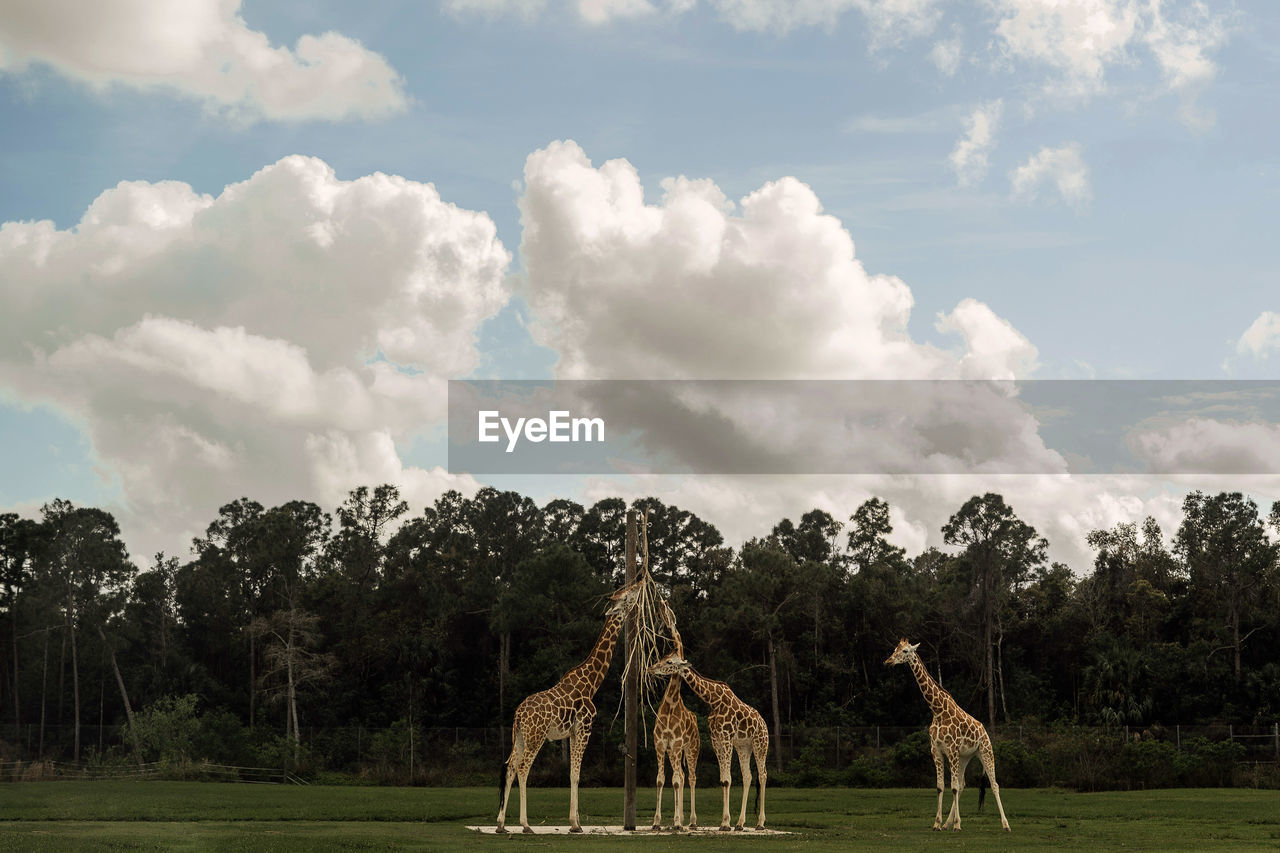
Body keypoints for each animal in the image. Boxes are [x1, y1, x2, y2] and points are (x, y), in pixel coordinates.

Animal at [496, 578, 640, 829]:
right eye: (625, 596)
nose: (638, 585)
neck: (591, 683)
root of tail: (519, 714)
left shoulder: (572, 732)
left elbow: (572, 773)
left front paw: (576, 822)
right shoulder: (584, 728)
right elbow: (576, 774)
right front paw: (575, 824)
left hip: (520, 735)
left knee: (510, 765)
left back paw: (501, 824)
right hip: (536, 736)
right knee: (523, 768)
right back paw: (525, 824)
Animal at [645, 650, 762, 824]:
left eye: (669, 662)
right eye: (663, 658)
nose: (651, 668)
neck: (714, 700)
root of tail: (763, 722)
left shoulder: (726, 737)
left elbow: (727, 779)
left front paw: (725, 823)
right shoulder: (716, 740)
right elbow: (723, 779)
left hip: (760, 744)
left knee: (763, 775)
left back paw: (759, 823)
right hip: (743, 747)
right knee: (747, 776)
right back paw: (740, 823)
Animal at [880, 637, 1008, 829]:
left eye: (905, 651)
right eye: (895, 649)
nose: (888, 662)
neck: (938, 710)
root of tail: (985, 730)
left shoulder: (952, 749)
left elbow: (952, 787)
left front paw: (957, 825)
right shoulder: (937, 750)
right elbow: (941, 786)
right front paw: (938, 823)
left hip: (985, 751)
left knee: (994, 784)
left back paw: (1005, 825)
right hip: (965, 756)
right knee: (962, 784)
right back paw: (948, 823)